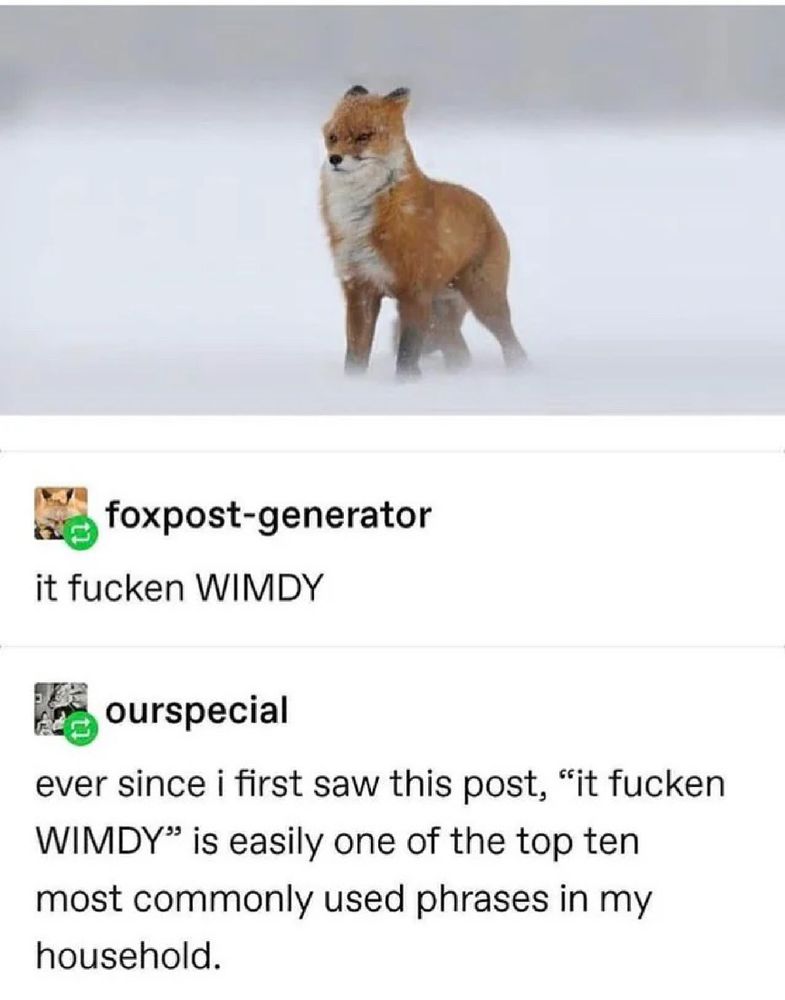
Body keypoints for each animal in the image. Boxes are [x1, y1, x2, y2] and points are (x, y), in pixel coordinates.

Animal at [320, 85, 526, 378]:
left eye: (363, 136)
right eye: (332, 137)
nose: (334, 159)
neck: (362, 219)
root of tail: (488, 209)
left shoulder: (413, 293)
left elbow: (407, 355)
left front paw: (406, 385)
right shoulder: (360, 288)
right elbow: (355, 357)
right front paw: (354, 385)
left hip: (484, 301)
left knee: (512, 346)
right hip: (441, 316)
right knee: (460, 355)